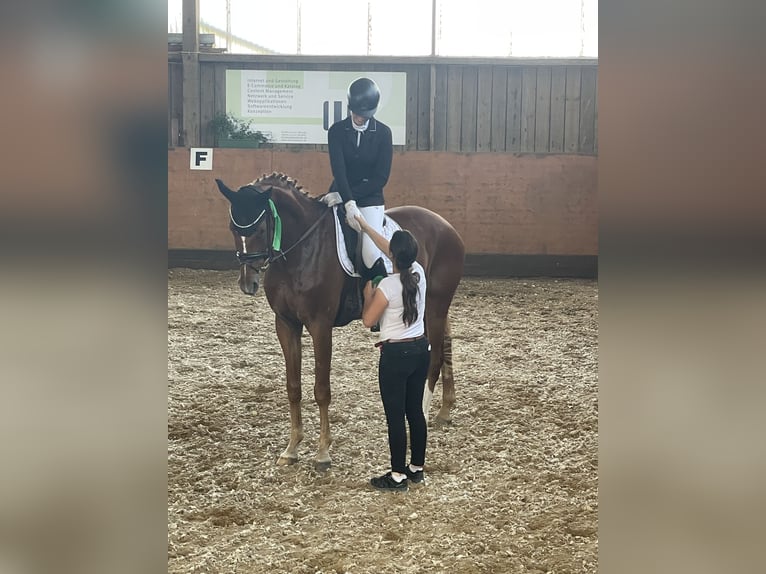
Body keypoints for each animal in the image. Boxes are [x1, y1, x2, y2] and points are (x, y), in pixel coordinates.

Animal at [214, 172, 465, 471]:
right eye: (232, 227)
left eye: (261, 230)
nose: (247, 283)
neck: (299, 251)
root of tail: (446, 225)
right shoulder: (285, 324)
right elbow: (293, 387)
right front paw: (292, 448)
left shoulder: (320, 326)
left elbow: (321, 389)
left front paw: (322, 452)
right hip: (428, 310)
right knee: (445, 347)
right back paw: (445, 410)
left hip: (435, 307)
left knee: (435, 357)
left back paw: (425, 414)